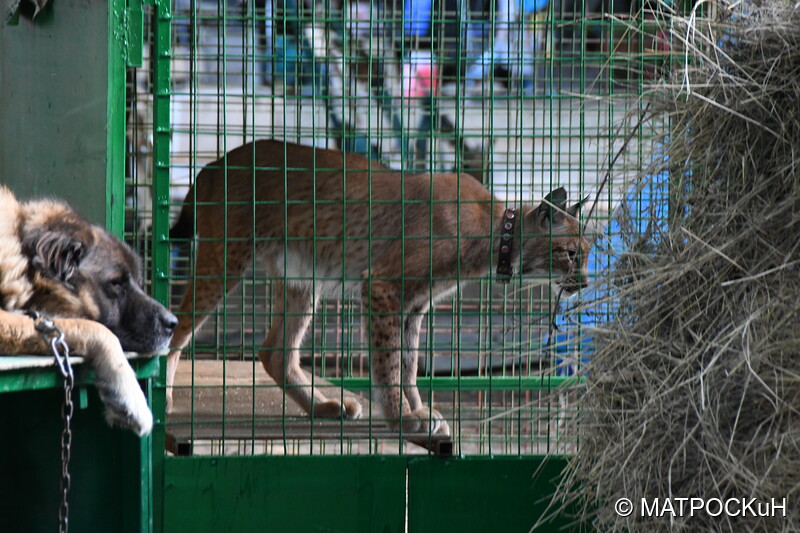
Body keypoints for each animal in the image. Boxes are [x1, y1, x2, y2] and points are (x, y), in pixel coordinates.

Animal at [0, 185, 177, 434]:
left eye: (138, 281)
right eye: (116, 283)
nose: (173, 323)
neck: (21, 253)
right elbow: (100, 330)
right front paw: (131, 398)